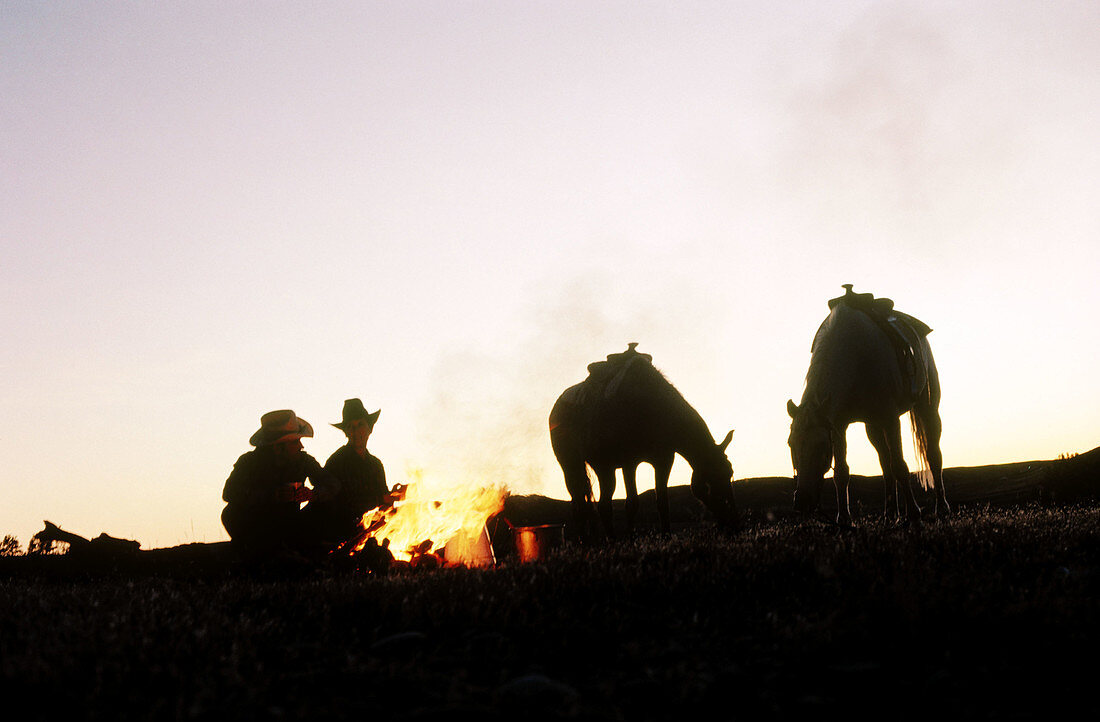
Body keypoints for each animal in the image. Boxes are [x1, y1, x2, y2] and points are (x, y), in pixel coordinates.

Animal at [550, 341, 739, 539]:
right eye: (710, 481)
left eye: (730, 474)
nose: (735, 524)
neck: (650, 407)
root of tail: (556, 409)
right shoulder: (629, 463)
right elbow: (632, 503)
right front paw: (631, 539)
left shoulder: (663, 460)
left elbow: (661, 501)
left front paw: (665, 537)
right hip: (575, 466)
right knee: (587, 505)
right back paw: (597, 540)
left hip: (601, 468)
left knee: (593, 504)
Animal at [787, 283, 950, 528]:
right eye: (791, 444)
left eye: (821, 447)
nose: (802, 501)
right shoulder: (839, 425)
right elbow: (842, 473)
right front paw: (844, 520)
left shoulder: (890, 418)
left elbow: (900, 466)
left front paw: (914, 514)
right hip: (872, 425)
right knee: (885, 463)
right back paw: (890, 513)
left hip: (927, 408)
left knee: (932, 456)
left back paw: (942, 508)